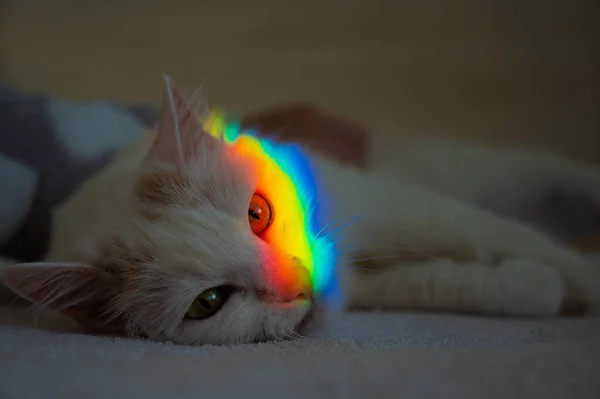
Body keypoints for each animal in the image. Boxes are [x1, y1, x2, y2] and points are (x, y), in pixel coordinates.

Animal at [3, 79, 600, 346]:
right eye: (208, 303)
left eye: (258, 213)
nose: (296, 281)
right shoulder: (365, 281)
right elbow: (444, 283)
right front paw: (530, 286)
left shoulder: (401, 209)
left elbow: (503, 237)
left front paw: (578, 281)